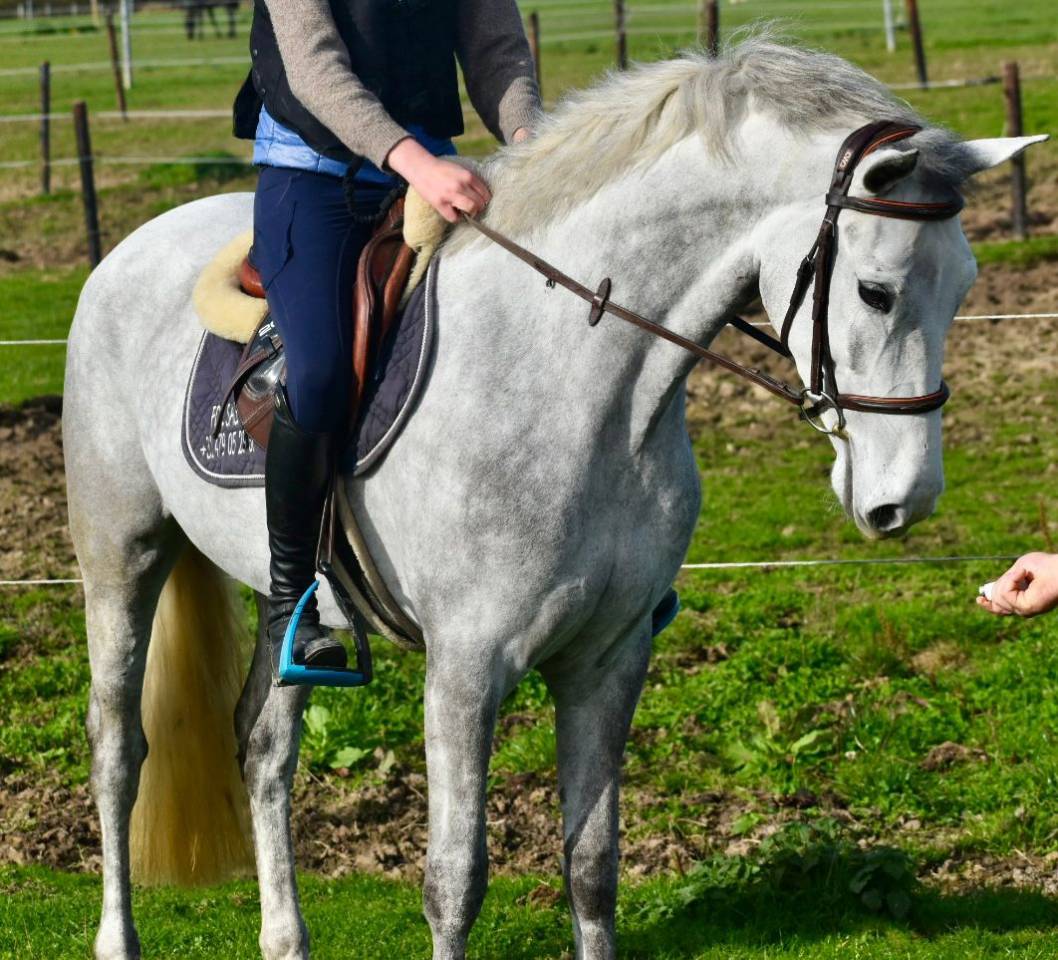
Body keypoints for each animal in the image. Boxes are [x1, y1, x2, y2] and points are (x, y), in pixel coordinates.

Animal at [63, 39, 1044, 960]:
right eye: (875, 292)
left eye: (964, 286)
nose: (904, 500)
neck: (573, 381)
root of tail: (130, 249)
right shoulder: (466, 668)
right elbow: (455, 880)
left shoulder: (608, 659)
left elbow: (592, 864)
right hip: (123, 558)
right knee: (118, 749)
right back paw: (117, 937)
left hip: (287, 605)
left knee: (264, 749)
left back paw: (285, 939)